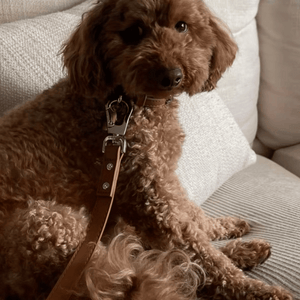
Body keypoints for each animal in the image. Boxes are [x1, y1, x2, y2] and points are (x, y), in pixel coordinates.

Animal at [0, 0, 294, 298]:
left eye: (182, 26)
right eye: (133, 32)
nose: (172, 76)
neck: (128, 105)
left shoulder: (163, 177)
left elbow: (192, 215)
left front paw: (223, 226)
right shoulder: (149, 196)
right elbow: (200, 252)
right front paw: (255, 289)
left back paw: (246, 250)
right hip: (52, 226)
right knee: (164, 267)